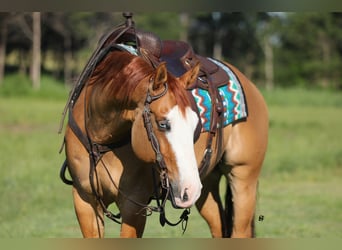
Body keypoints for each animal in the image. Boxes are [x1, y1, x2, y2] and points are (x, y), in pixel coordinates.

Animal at [60, 20, 268, 237]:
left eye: (195, 125)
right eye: (163, 123)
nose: (189, 189)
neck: (102, 140)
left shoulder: (134, 205)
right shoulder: (85, 201)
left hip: (242, 178)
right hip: (207, 183)